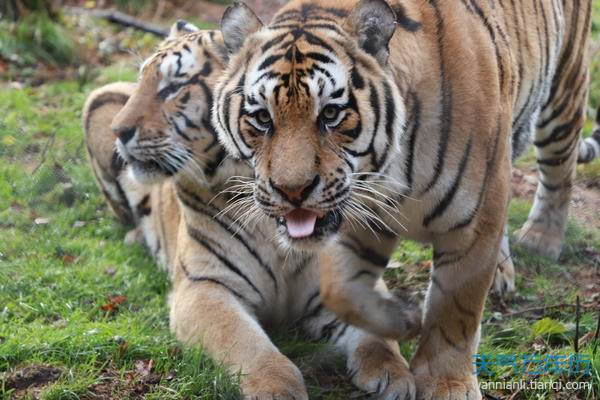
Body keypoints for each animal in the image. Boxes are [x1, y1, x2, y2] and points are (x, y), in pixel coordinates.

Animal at [83, 21, 422, 400]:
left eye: (174, 87)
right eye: (144, 80)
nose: (119, 131)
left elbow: (379, 336)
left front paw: (395, 375)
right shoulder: (205, 287)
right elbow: (244, 342)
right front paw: (278, 388)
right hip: (98, 98)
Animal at [214, 0, 596, 400]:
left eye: (331, 114)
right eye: (262, 118)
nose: (291, 192)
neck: (388, 174)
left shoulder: (474, 221)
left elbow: (455, 310)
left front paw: (448, 384)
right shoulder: (358, 225)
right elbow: (343, 292)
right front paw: (401, 322)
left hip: (563, 94)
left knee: (560, 169)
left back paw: (541, 240)